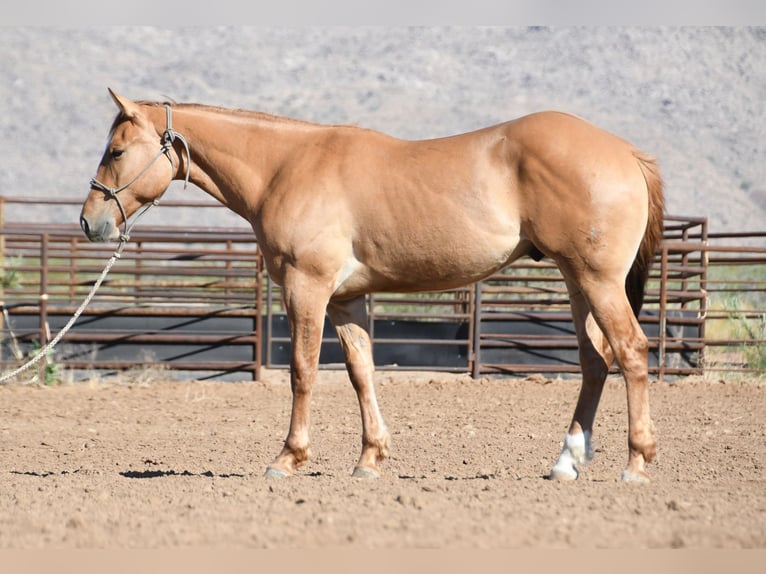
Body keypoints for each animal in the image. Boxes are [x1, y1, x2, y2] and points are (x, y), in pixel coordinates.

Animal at [80, 89, 663, 482]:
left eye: (116, 151)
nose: (90, 223)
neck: (284, 168)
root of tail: (626, 152)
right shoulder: (345, 299)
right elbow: (362, 373)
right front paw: (369, 458)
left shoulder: (307, 289)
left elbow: (302, 372)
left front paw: (287, 458)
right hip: (576, 281)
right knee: (595, 362)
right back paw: (566, 462)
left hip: (597, 281)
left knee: (631, 352)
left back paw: (636, 463)